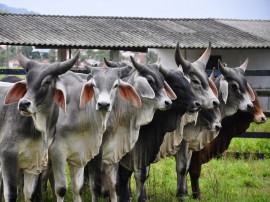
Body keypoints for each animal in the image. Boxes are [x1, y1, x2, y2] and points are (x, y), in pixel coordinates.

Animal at [0, 52, 79, 202]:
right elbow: (11, 194)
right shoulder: (7, 155)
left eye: (47, 82)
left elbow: (29, 194)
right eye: (27, 80)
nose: (23, 104)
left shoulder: (33, 164)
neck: (39, 129)